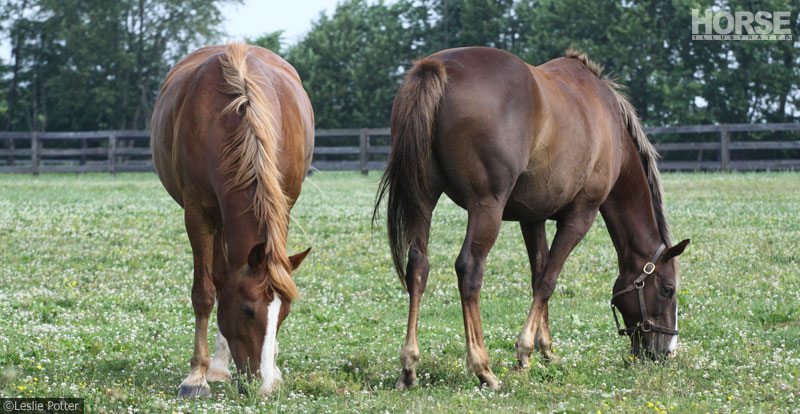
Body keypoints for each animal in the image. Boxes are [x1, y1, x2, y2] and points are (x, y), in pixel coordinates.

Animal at [152, 42, 314, 398]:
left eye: (284, 313)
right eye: (247, 310)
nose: (262, 387)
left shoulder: (283, 206)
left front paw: (274, 366)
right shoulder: (198, 214)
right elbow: (205, 292)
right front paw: (196, 376)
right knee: (219, 277)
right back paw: (215, 366)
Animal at [376, 47, 688, 390]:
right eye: (668, 290)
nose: (666, 351)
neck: (612, 130)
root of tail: (438, 66)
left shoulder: (532, 217)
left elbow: (538, 274)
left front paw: (545, 349)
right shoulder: (580, 216)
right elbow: (549, 280)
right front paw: (524, 352)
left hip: (423, 198)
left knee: (418, 266)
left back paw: (409, 366)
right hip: (486, 206)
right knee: (469, 269)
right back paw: (483, 368)